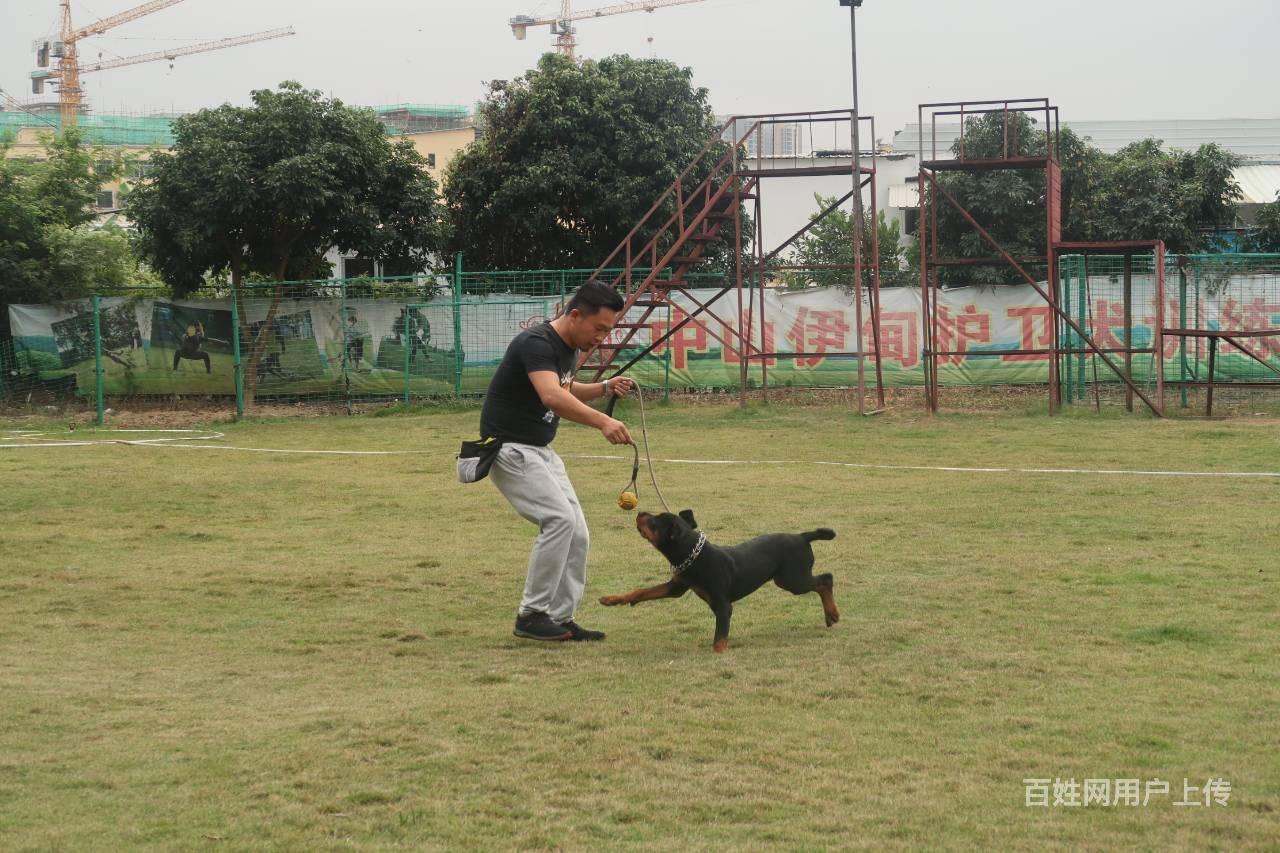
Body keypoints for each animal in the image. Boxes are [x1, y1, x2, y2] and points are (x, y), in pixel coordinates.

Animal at [599, 512, 839, 650]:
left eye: (655, 522)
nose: (640, 512)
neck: (694, 555)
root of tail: (802, 536)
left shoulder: (723, 606)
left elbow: (719, 641)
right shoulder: (676, 586)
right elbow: (643, 591)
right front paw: (611, 599)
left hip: (793, 580)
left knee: (826, 579)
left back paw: (833, 615)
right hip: (786, 579)